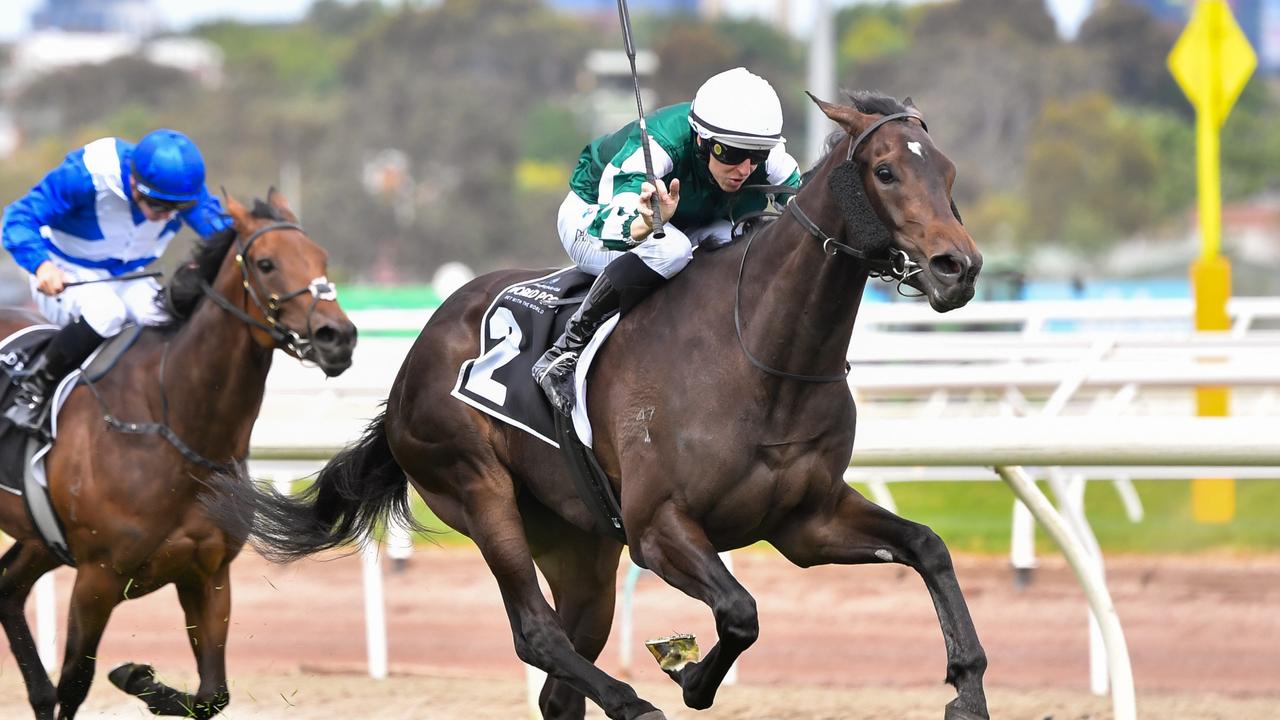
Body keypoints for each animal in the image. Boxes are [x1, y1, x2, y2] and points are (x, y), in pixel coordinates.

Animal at [0, 190, 358, 717]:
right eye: (266, 263)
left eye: (322, 258)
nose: (339, 337)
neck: (174, 426)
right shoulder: (97, 578)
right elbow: (76, 683)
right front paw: (128, 675)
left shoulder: (206, 574)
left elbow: (213, 694)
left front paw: (136, 676)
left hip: (40, 538)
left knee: (6, 589)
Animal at [225, 94, 988, 717]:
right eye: (886, 172)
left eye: (948, 174)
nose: (959, 267)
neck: (761, 356)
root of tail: (412, 361)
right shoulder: (657, 526)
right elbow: (740, 610)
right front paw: (687, 676)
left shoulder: (807, 520)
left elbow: (929, 547)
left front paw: (967, 686)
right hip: (476, 487)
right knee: (536, 633)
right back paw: (632, 702)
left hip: (579, 541)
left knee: (562, 679)